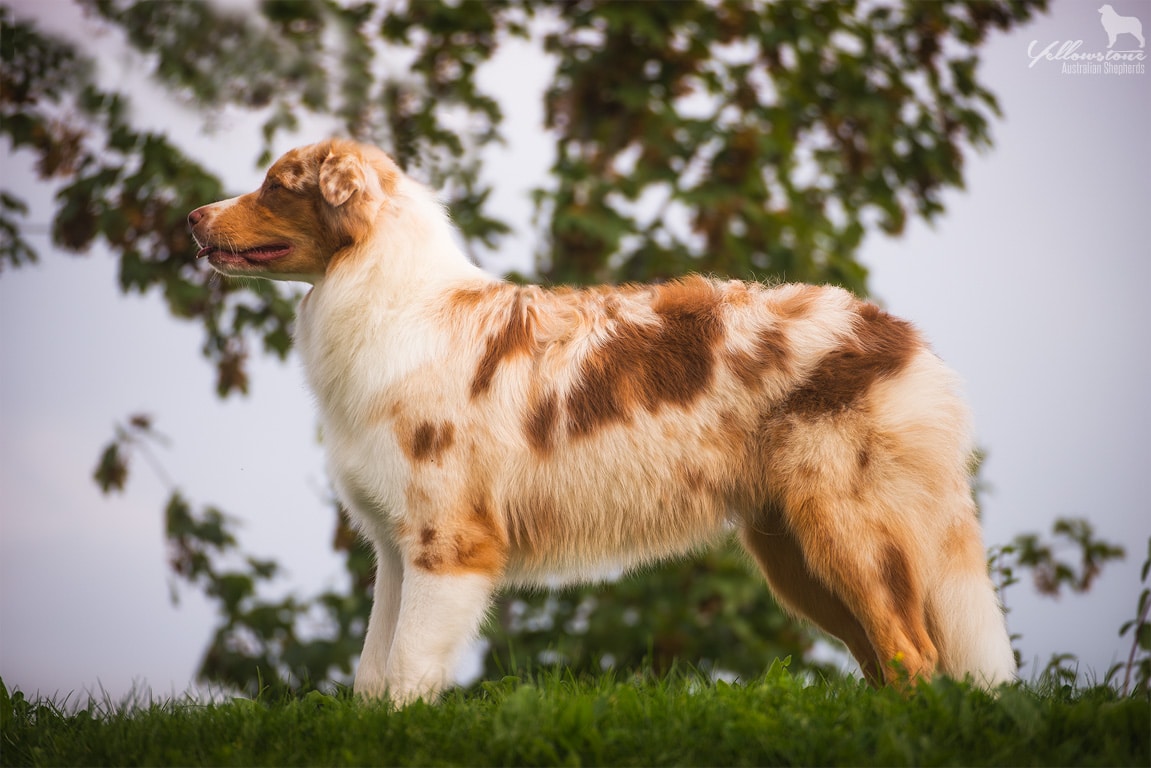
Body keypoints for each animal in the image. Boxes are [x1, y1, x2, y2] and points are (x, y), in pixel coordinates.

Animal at [188, 136, 1017, 704]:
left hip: (844, 526)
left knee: (913, 654)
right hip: (794, 552)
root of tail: (900, 336)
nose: (192, 216)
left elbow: (409, 670)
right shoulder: (395, 547)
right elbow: (372, 672)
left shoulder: (449, 542)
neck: (384, 297)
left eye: (275, 185)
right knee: (889, 658)